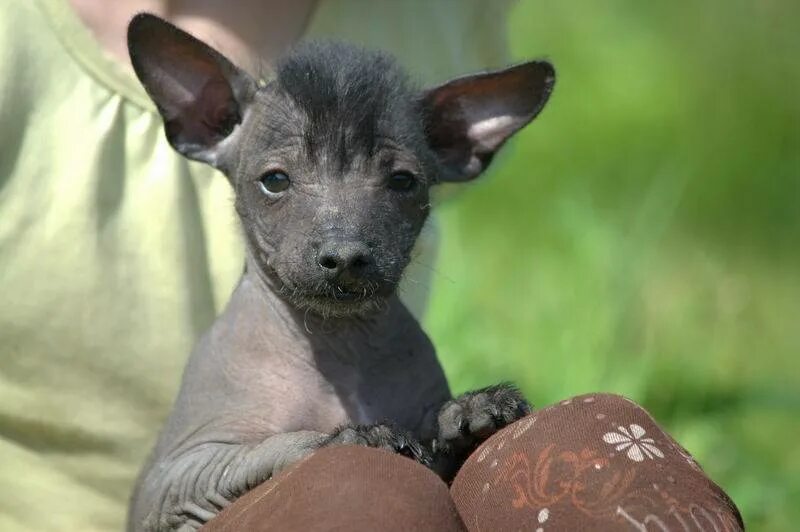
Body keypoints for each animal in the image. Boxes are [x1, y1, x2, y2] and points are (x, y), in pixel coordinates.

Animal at [126, 13, 556, 532]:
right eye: (275, 181)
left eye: (403, 181)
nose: (346, 255)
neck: (341, 343)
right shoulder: (177, 481)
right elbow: (270, 448)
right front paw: (355, 436)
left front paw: (470, 411)